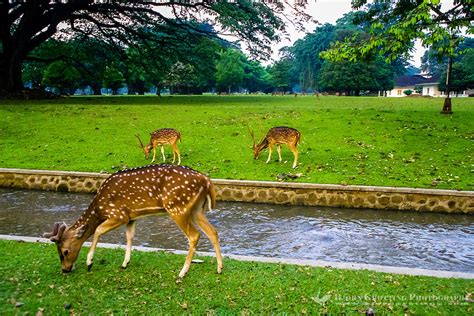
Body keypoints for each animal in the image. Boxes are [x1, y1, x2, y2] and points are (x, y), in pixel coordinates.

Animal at [43, 164, 223, 278]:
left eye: (65, 251)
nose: (65, 269)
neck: (99, 208)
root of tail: (207, 181)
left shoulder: (118, 215)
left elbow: (98, 230)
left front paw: (89, 262)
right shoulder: (131, 218)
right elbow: (129, 236)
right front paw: (125, 263)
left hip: (178, 207)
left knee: (194, 235)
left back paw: (182, 272)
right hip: (197, 209)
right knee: (213, 231)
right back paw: (219, 268)